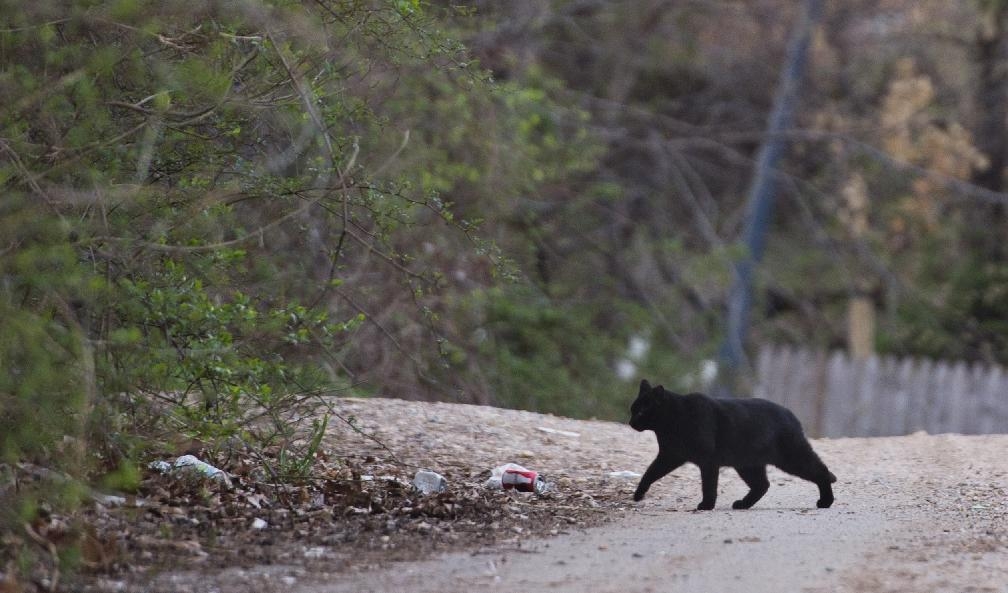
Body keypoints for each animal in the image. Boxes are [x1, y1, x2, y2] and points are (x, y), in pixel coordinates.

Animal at [628, 379, 834, 510]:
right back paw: (742, 504)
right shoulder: (670, 455)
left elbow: (709, 485)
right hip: (747, 464)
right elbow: (650, 472)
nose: (631, 422)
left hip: (791, 458)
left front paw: (706, 505)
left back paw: (826, 502)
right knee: (762, 485)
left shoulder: (707, 461)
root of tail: (790, 414)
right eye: (632, 410)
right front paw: (638, 494)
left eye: (641, 411)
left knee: (822, 472)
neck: (674, 419)